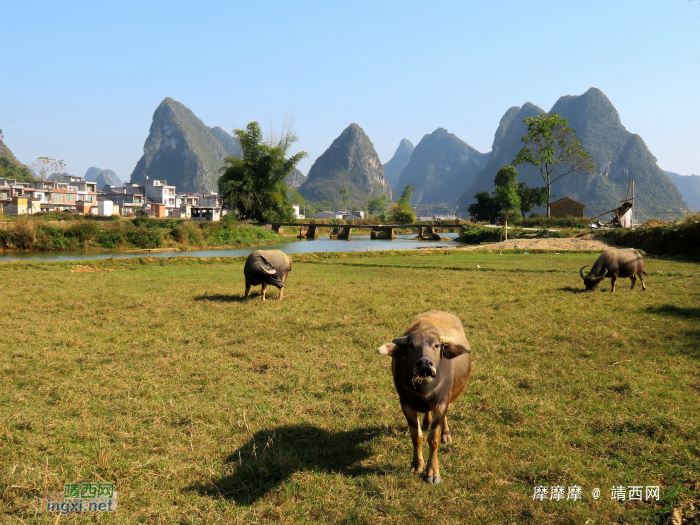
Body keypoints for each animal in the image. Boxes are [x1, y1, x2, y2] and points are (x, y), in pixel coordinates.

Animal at [378, 310, 470, 486]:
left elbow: (433, 438)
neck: (424, 391)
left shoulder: (442, 402)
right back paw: (427, 422)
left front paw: (432, 472)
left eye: (436, 345)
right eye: (410, 346)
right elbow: (416, 436)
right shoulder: (405, 404)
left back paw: (446, 434)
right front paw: (416, 465)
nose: (425, 363)